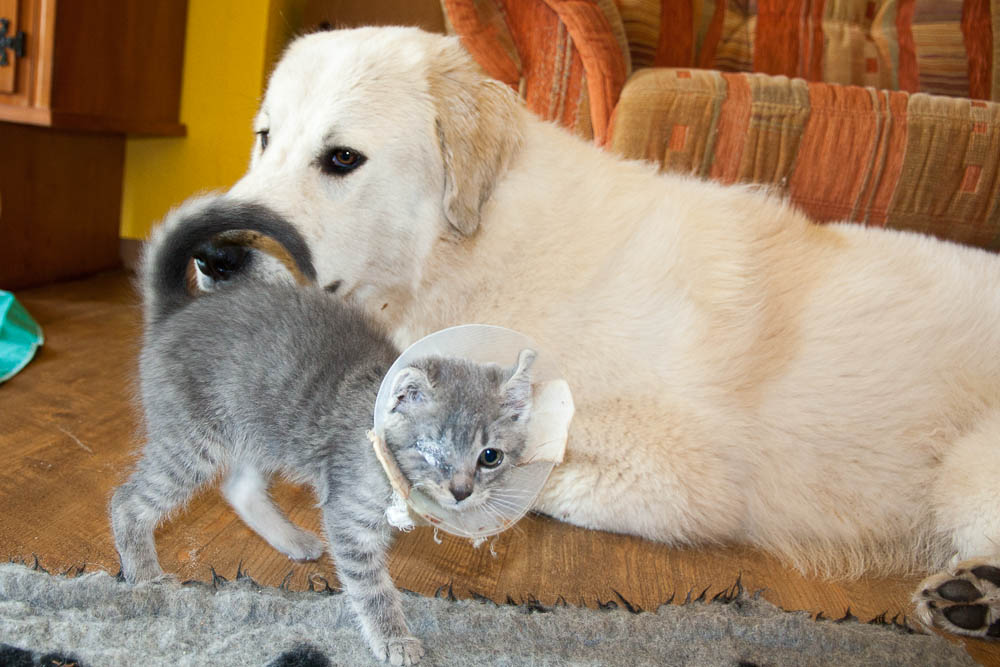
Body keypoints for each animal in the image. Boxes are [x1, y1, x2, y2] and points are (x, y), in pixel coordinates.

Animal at [109, 204, 536, 667]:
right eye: (431, 448)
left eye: (489, 456)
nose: (461, 491)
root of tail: (179, 310)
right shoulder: (349, 518)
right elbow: (372, 587)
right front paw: (394, 639)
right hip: (193, 442)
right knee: (127, 501)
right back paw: (146, 577)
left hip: (260, 432)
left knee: (238, 488)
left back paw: (291, 538)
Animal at [178, 27, 1000, 640]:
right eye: (265, 139)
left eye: (342, 158)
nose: (211, 256)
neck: (470, 253)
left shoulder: (679, 470)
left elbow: (532, 470)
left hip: (965, 473)